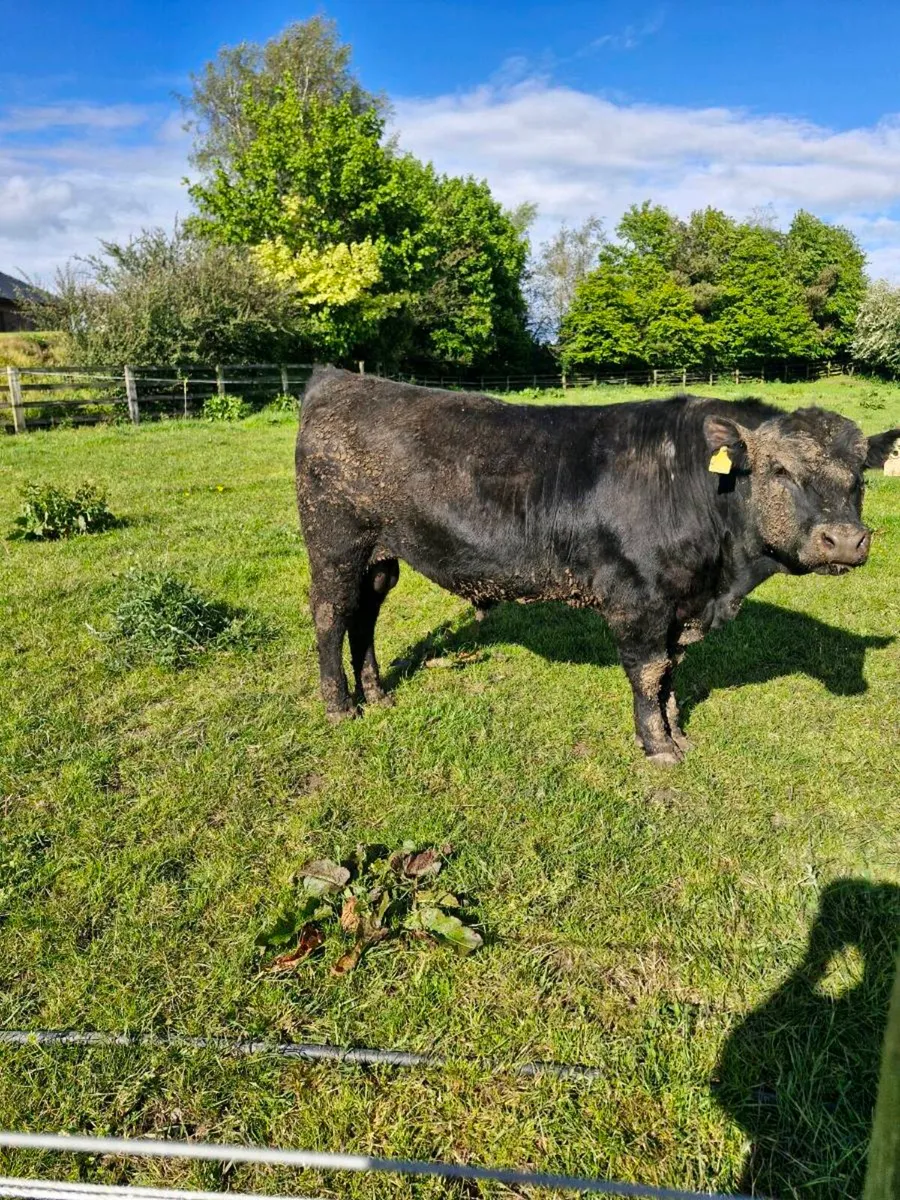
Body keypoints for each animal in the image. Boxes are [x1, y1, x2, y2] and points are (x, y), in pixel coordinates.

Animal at [296, 368, 898, 765]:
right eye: (778, 470)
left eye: (860, 477)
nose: (845, 540)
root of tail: (338, 379)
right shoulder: (638, 599)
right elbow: (649, 672)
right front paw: (658, 747)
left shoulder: (678, 605)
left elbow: (672, 671)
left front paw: (677, 733)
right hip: (335, 544)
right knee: (331, 615)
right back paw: (340, 707)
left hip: (381, 556)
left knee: (365, 617)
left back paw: (377, 695)